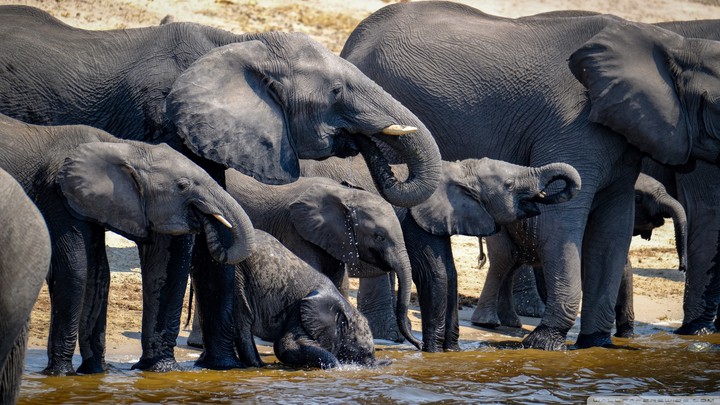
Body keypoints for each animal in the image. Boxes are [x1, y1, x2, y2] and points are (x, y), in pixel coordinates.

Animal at [0, 113, 255, 375]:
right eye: (183, 186)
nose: (211, 222)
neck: (123, 147)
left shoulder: (88, 201)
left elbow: (98, 273)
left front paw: (97, 372)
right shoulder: (57, 194)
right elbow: (74, 269)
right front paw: (60, 375)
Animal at [187, 170, 421, 350]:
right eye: (378, 236)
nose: (419, 346)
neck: (346, 195)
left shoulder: (334, 238)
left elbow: (340, 282)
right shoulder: (296, 230)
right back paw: (199, 344)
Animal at [234, 230, 379, 369]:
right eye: (363, 351)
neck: (346, 306)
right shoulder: (298, 311)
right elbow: (286, 345)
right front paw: (337, 367)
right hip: (239, 276)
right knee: (243, 323)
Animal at [300, 154, 581, 351]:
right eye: (509, 185)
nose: (416, 345)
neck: (456, 170)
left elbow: (450, 273)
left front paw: (452, 351)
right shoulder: (415, 219)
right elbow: (434, 274)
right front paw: (434, 352)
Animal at [474, 172, 689, 337]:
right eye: (638, 198)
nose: (682, 267)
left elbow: (623, 268)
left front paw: (627, 336)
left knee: (512, 265)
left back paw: (510, 322)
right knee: (505, 259)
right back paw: (488, 322)